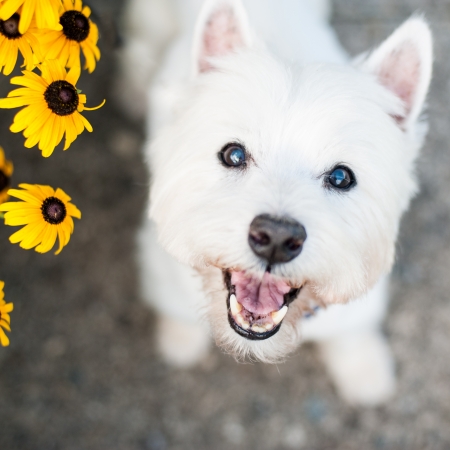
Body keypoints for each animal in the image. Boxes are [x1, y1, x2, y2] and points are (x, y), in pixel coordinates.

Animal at [121, 0, 434, 406]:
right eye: (234, 154)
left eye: (341, 177)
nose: (276, 238)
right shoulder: (161, 265)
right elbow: (176, 309)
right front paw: (180, 341)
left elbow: (352, 330)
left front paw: (365, 371)